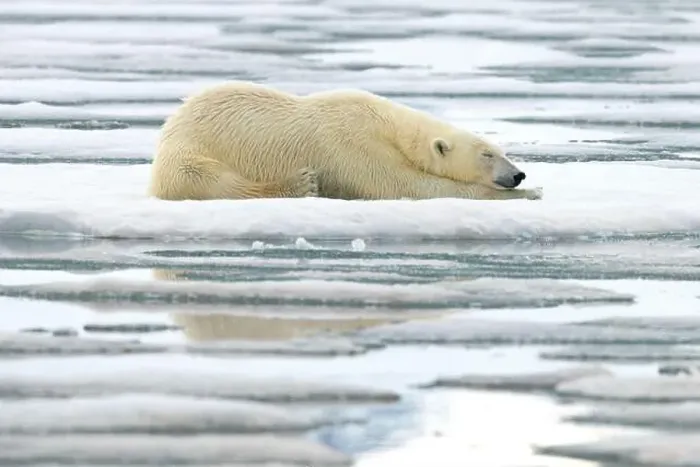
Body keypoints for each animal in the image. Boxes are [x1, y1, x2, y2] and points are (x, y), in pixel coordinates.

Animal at [148, 81, 543, 202]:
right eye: (487, 154)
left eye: (503, 151)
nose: (517, 175)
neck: (388, 126)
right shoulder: (351, 143)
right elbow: (400, 184)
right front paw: (529, 192)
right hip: (192, 150)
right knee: (214, 181)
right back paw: (299, 184)